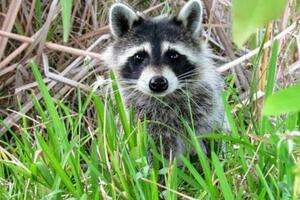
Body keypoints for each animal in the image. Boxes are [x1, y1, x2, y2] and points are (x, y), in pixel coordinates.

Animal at [101, 0, 230, 159]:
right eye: (139, 57)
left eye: (173, 55)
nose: (158, 83)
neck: (164, 98)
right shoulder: (143, 119)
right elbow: (155, 151)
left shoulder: (204, 108)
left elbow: (211, 134)